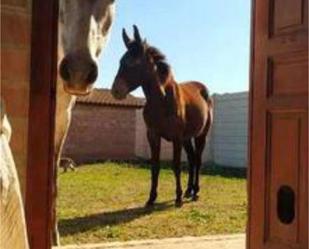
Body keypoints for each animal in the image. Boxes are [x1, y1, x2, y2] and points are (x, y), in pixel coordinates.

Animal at [110, 26, 212, 207]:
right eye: (121, 61)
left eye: (133, 62)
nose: (116, 91)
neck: (161, 100)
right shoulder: (153, 135)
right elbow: (155, 166)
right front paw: (151, 198)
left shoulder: (176, 137)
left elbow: (176, 165)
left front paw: (177, 198)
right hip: (187, 138)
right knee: (192, 159)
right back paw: (189, 190)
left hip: (201, 135)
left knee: (198, 160)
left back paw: (195, 192)